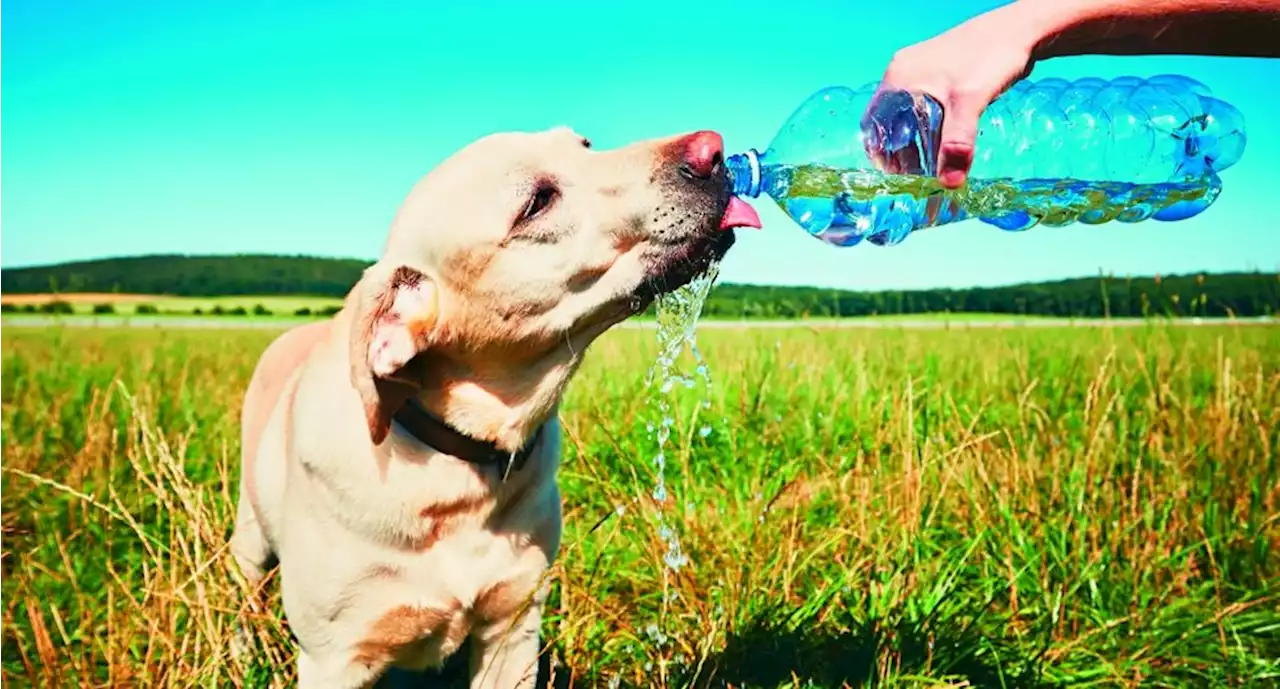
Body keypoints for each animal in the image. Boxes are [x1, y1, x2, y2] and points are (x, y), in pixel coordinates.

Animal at [230, 126, 757, 681]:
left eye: (585, 145)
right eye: (537, 202)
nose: (713, 149)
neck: (456, 465)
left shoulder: (514, 628)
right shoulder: (335, 658)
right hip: (249, 539)